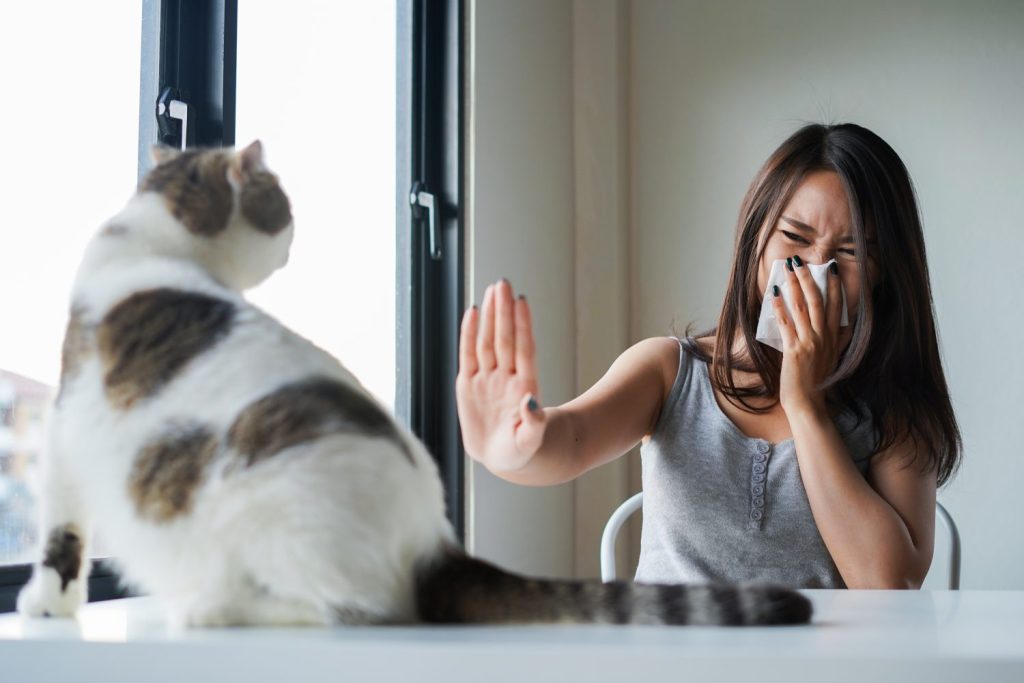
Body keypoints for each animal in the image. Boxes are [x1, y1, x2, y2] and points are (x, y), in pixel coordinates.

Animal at [16, 141, 811, 626]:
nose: (293, 239)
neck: (157, 240)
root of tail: (433, 544)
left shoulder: (65, 434)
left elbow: (60, 534)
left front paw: (45, 603)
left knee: (349, 609)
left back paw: (211, 607)